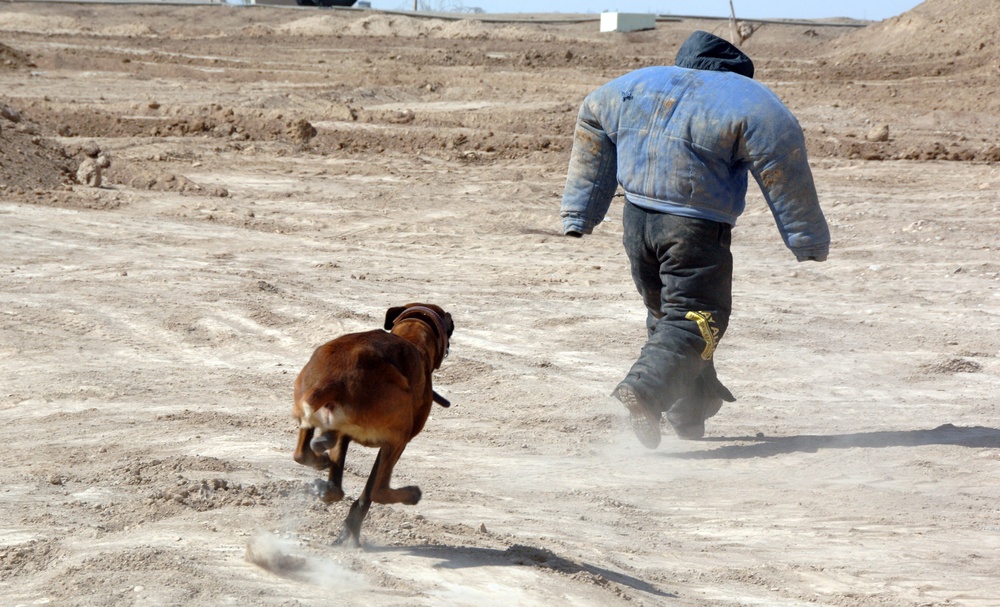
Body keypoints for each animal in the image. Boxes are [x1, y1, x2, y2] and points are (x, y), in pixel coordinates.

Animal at [292, 304, 456, 548]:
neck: (412, 338)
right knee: (379, 491)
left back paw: (320, 458)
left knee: (305, 455)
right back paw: (410, 494)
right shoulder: (393, 443)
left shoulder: (345, 436)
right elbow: (369, 492)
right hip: (399, 433)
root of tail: (335, 378)